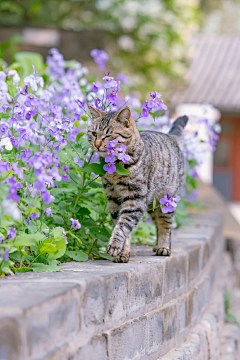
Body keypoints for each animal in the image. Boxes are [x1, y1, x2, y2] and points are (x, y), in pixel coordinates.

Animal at [87, 105, 188, 262]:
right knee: (158, 223)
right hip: (151, 205)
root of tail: (170, 136)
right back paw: (157, 246)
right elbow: (120, 225)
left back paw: (164, 247)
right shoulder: (113, 199)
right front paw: (123, 253)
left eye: (108, 136)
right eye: (94, 133)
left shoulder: (135, 200)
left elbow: (123, 226)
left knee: (165, 225)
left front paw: (115, 245)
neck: (116, 169)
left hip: (166, 199)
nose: (97, 145)